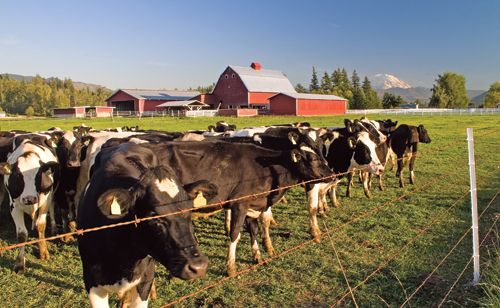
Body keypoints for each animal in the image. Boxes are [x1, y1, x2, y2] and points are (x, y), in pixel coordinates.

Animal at [0, 136, 59, 274]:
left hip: (52, 195)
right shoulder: (14, 206)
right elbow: (22, 234)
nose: (29, 199)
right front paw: (20, 264)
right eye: (17, 175)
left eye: (38, 175)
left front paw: (43, 252)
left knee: (52, 208)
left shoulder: (44, 202)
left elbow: (41, 225)